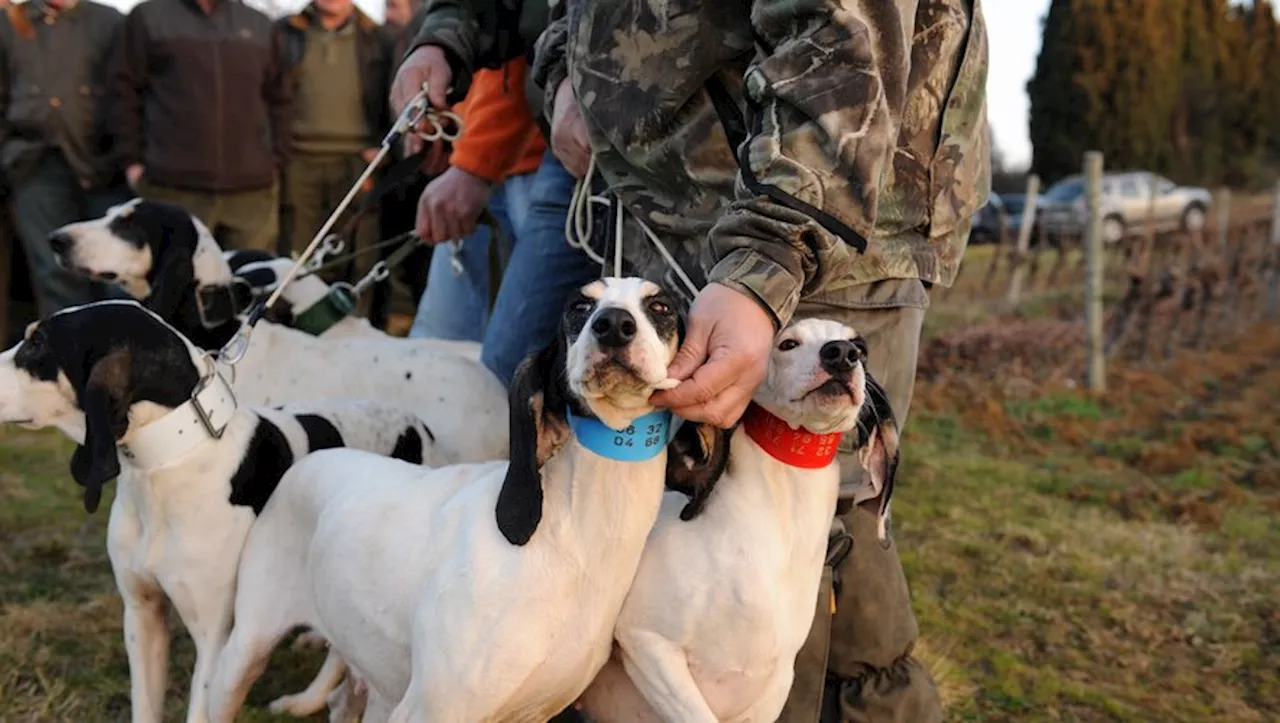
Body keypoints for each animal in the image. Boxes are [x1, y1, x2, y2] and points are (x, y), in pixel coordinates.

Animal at [195, 277, 727, 721]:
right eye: (579, 306)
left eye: (660, 306)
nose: (614, 325)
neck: (570, 540)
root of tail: (315, 457)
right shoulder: (430, 711)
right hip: (243, 654)